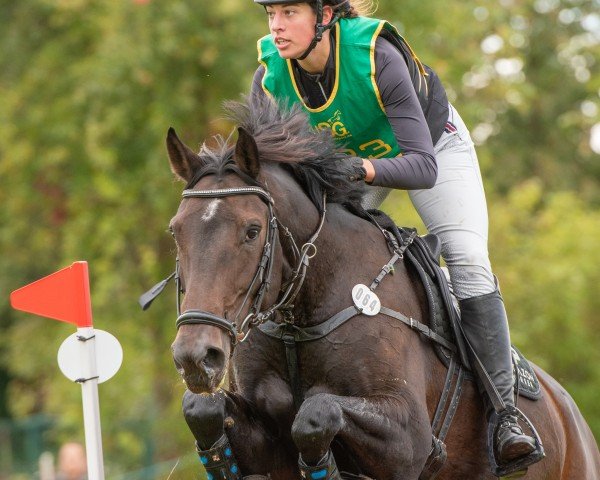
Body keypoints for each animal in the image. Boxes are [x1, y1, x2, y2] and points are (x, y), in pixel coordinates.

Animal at [164, 95, 600, 478]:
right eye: (176, 231)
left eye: (252, 231)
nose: (196, 356)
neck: (299, 318)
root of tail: (574, 419)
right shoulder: (266, 444)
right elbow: (201, 408)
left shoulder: (409, 441)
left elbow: (315, 414)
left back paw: (513, 434)